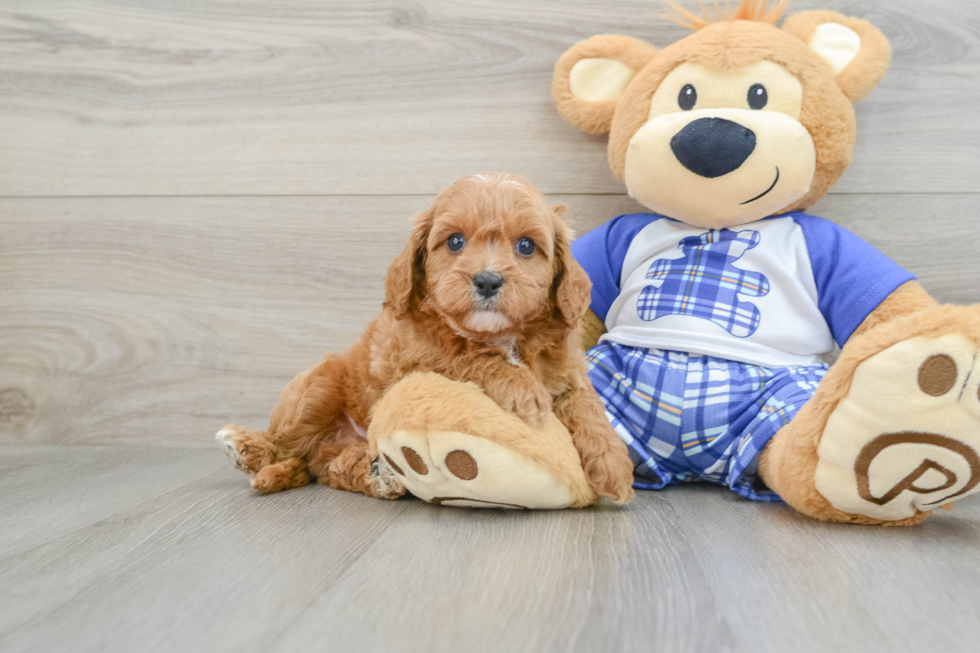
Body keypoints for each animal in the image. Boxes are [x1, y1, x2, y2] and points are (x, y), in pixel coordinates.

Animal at [216, 173, 636, 504]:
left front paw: (614, 465)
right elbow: (468, 356)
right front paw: (522, 389)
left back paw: (377, 476)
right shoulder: (415, 360)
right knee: (287, 440)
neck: (501, 335)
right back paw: (249, 450)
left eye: (526, 246)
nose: (487, 280)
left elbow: (586, 404)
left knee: (328, 468)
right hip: (318, 387)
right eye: (455, 242)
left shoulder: (566, 369)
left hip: (337, 446)